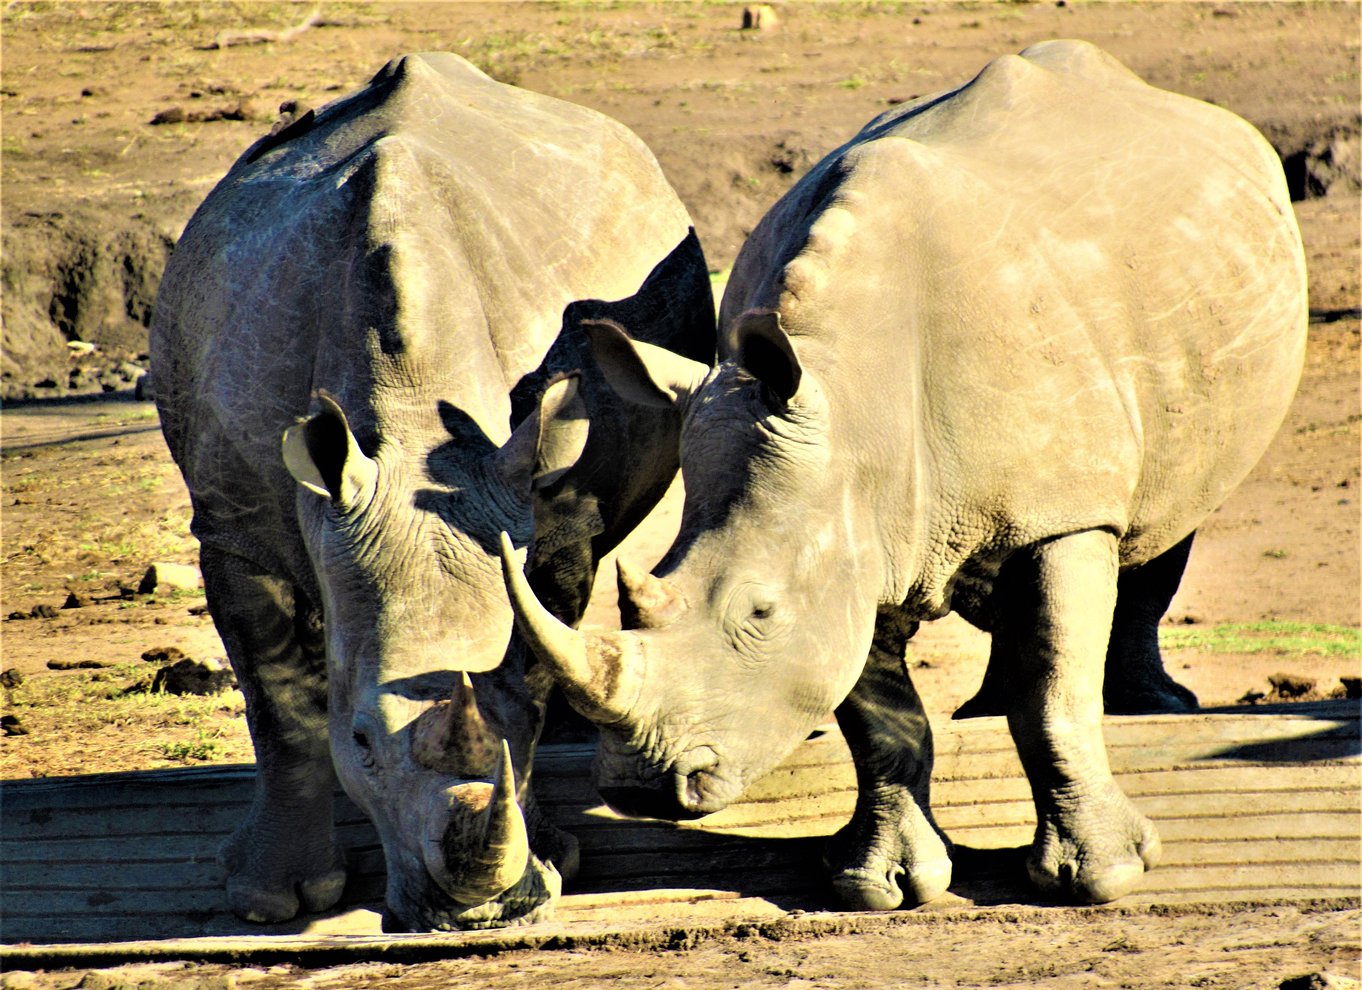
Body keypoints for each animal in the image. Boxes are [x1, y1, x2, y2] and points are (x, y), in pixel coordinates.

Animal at [151, 54, 713, 931]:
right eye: (361, 742)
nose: (479, 914)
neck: (408, 423)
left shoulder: (543, 507)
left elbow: (534, 656)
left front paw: (554, 847)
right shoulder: (230, 524)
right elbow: (279, 703)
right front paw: (270, 898)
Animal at [503, 44, 1307, 915]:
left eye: (760, 613)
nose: (639, 790)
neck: (854, 403)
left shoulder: (1063, 512)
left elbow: (1054, 694)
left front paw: (1104, 878)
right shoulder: (848, 525)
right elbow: (879, 720)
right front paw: (879, 885)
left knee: (1168, 515)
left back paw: (1153, 704)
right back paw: (983, 709)